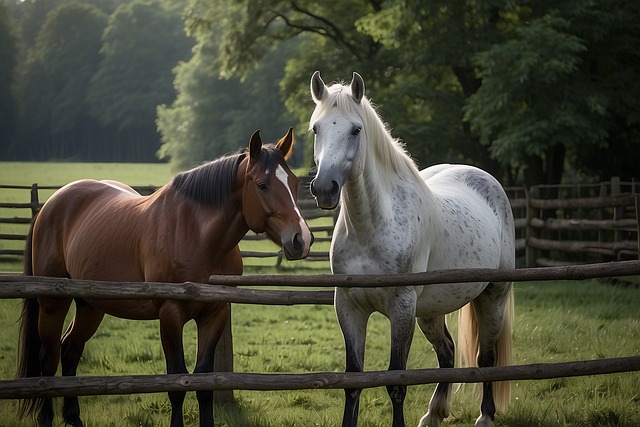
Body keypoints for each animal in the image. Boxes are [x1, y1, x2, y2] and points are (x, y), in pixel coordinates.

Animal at [17, 129, 312, 427]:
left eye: (295, 182)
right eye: (262, 185)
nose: (301, 239)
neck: (196, 234)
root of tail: (50, 205)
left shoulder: (215, 313)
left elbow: (204, 380)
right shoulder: (170, 314)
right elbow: (177, 381)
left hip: (90, 305)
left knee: (70, 351)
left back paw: (74, 418)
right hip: (53, 303)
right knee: (48, 358)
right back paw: (46, 417)